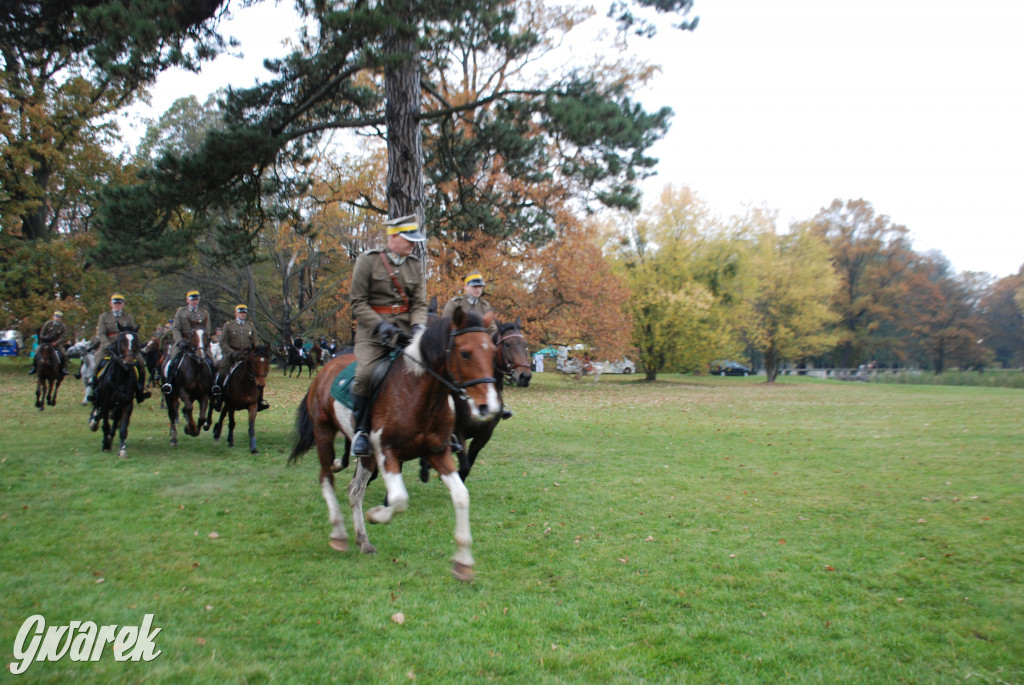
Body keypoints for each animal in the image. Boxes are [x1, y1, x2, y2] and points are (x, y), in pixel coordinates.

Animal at [88, 327, 140, 456]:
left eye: (136, 341)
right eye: (121, 340)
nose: (129, 362)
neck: (119, 378)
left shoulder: (127, 404)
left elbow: (123, 428)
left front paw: (122, 450)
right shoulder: (105, 404)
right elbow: (105, 425)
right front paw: (105, 445)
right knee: (96, 407)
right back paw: (94, 423)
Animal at [288, 307, 499, 581]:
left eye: (492, 352)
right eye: (465, 353)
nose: (489, 407)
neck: (418, 393)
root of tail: (327, 367)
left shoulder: (438, 452)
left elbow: (462, 496)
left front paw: (463, 562)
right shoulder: (387, 453)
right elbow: (399, 499)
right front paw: (377, 514)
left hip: (366, 455)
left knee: (355, 491)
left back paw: (363, 540)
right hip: (324, 432)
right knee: (327, 478)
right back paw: (339, 533)